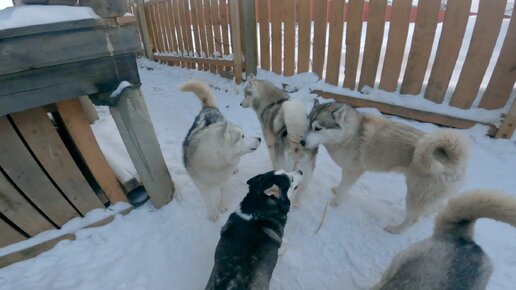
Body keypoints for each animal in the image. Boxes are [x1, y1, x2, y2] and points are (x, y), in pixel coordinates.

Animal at [182, 80, 262, 221]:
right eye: (242, 136)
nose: (259, 138)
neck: (215, 163)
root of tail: (208, 108)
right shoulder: (202, 186)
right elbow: (208, 200)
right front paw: (213, 214)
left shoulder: (225, 179)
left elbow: (223, 193)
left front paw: (223, 206)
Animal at [240, 78, 316, 207]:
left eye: (245, 94)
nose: (240, 104)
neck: (271, 103)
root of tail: (298, 139)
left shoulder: (271, 146)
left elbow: (273, 160)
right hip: (307, 168)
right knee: (302, 187)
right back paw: (297, 203)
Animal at [300, 101, 470, 232]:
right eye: (307, 125)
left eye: (318, 128)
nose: (301, 142)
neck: (350, 134)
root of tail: (455, 159)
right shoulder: (347, 169)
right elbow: (342, 184)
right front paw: (337, 189)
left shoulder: (354, 171)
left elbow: (344, 188)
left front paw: (335, 202)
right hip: (429, 194)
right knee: (434, 205)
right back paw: (428, 213)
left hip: (415, 193)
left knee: (413, 219)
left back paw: (396, 229)